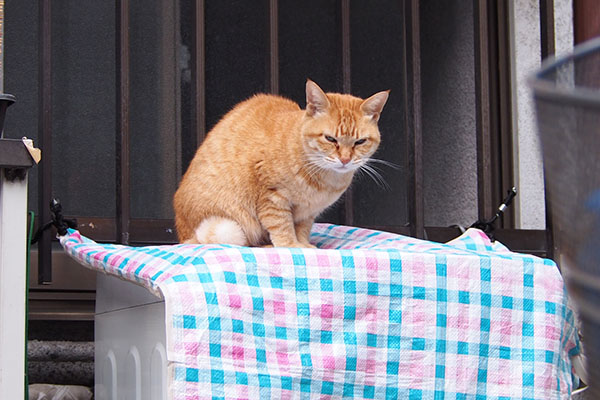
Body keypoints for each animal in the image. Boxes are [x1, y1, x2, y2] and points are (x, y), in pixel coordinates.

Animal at [173, 79, 390, 247]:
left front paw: (303, 244)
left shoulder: (307, 212)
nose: (345, 159)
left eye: (360, 142)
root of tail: (182, 235)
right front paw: (291, 246)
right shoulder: (272, 195)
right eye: (330, 139)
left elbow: (301, 229)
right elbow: (281, 225)